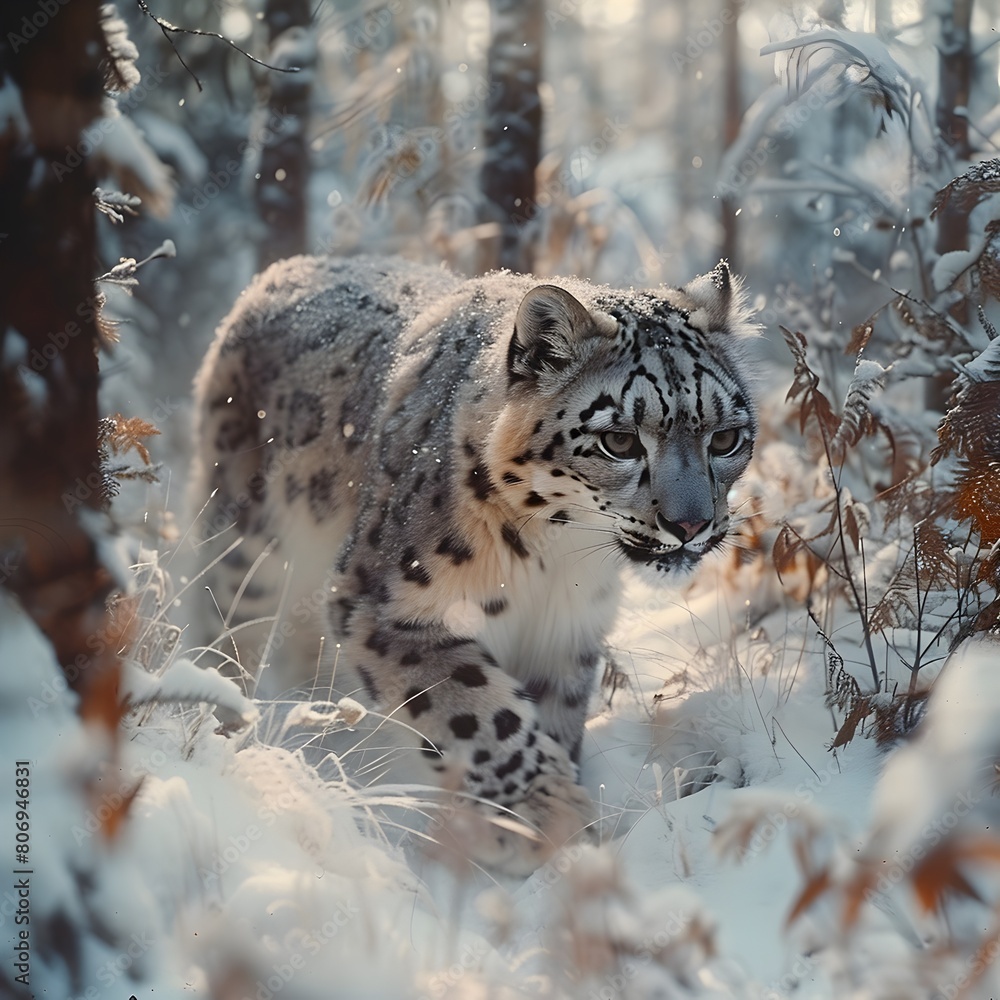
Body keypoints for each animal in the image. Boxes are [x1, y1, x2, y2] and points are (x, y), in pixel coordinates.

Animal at [189, 254, 757, 874]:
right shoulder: (381, 604)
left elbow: (550, 714)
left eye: (726, 438)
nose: (691, 525)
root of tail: (287, 267)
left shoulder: (566, 633)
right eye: (621, 441)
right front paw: (544, 816)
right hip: (249, 550)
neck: (557, 561)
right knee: (227, 628)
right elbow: (479, 710)